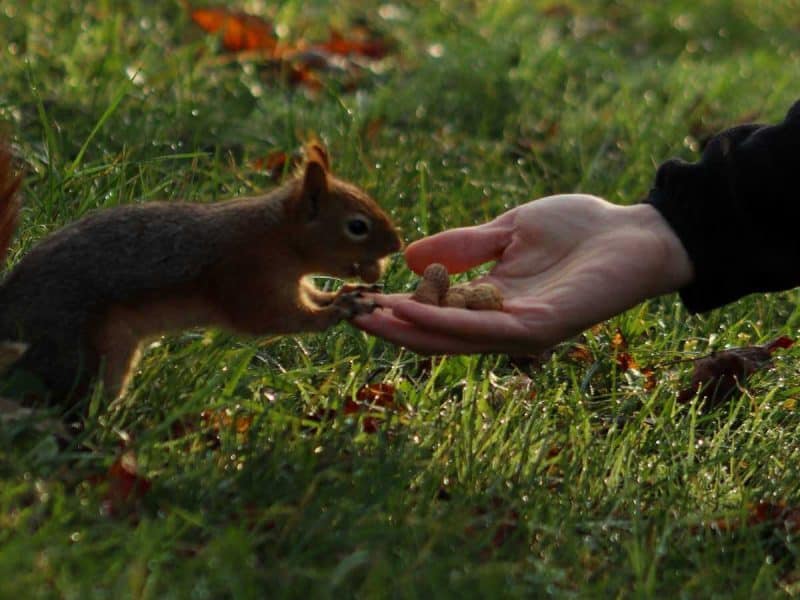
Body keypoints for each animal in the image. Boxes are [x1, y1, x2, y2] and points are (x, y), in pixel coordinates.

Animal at [0, 140, 402, 408]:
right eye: (357, 226)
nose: (397, 244)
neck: (279, 236)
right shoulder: (248, 277)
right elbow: (280, 318)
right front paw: (338, 309)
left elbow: (311, 296)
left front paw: (344, 293)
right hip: (89, 350)